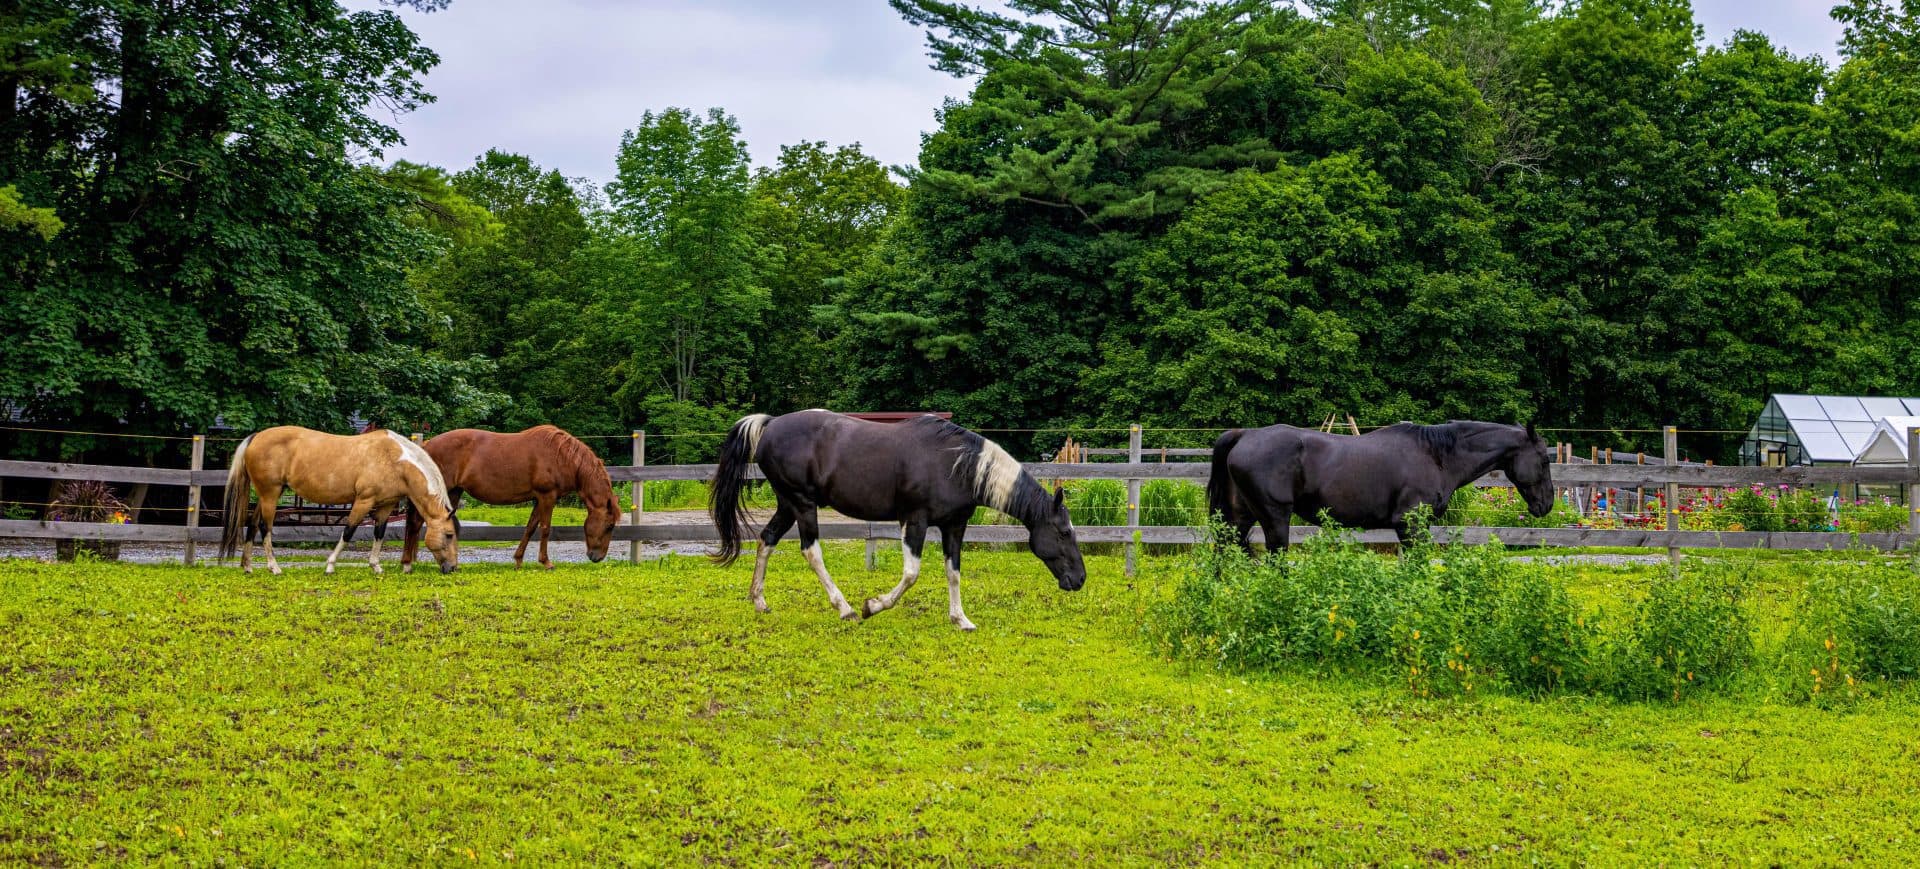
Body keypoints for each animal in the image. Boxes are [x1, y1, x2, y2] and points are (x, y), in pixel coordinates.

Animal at [219, 426, 459, 575]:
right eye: (449, 535)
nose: (453, 568)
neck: (395, 460)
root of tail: (256, 437)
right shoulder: (363, 501)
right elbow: (348, 531)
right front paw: (330, 566)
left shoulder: (386, 505)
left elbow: (379, 534)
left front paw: (375, 566)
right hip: (270, 494)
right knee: (264, 527)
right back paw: (274, 567)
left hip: (265, 495)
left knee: (252, 524)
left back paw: (248, 566)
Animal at [400, 425, 623, 571]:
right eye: (610, 525)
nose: (597, 557)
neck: (562, 456)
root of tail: (427, 445)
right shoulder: (547, 496)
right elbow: (545, 529)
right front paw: (546, 562)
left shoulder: (538, 499)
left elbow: (530, 527)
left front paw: (518, 560)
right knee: (415, 523)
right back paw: (407, 563)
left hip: (453, 492)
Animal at [709, 411, 1086, 631]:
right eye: (1063, 532)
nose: (1080, 580)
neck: (958, 465)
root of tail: (770, 423)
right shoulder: (914, 522)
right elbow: (911, 574)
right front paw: (873, 606)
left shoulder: (954, 527)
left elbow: (953, 573)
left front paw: (960, 619)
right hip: (802, 504)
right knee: (811, 551)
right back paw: (845, 609)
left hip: (788, 505)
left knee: (767, 539)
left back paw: (759, 601)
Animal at [1207, 420, 1555, 552]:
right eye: (1543, 460)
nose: (1547, 504)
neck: (1437, 456)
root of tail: (1244, 435)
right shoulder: (1411, 526)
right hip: (1274, 518)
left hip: (1239, 518)